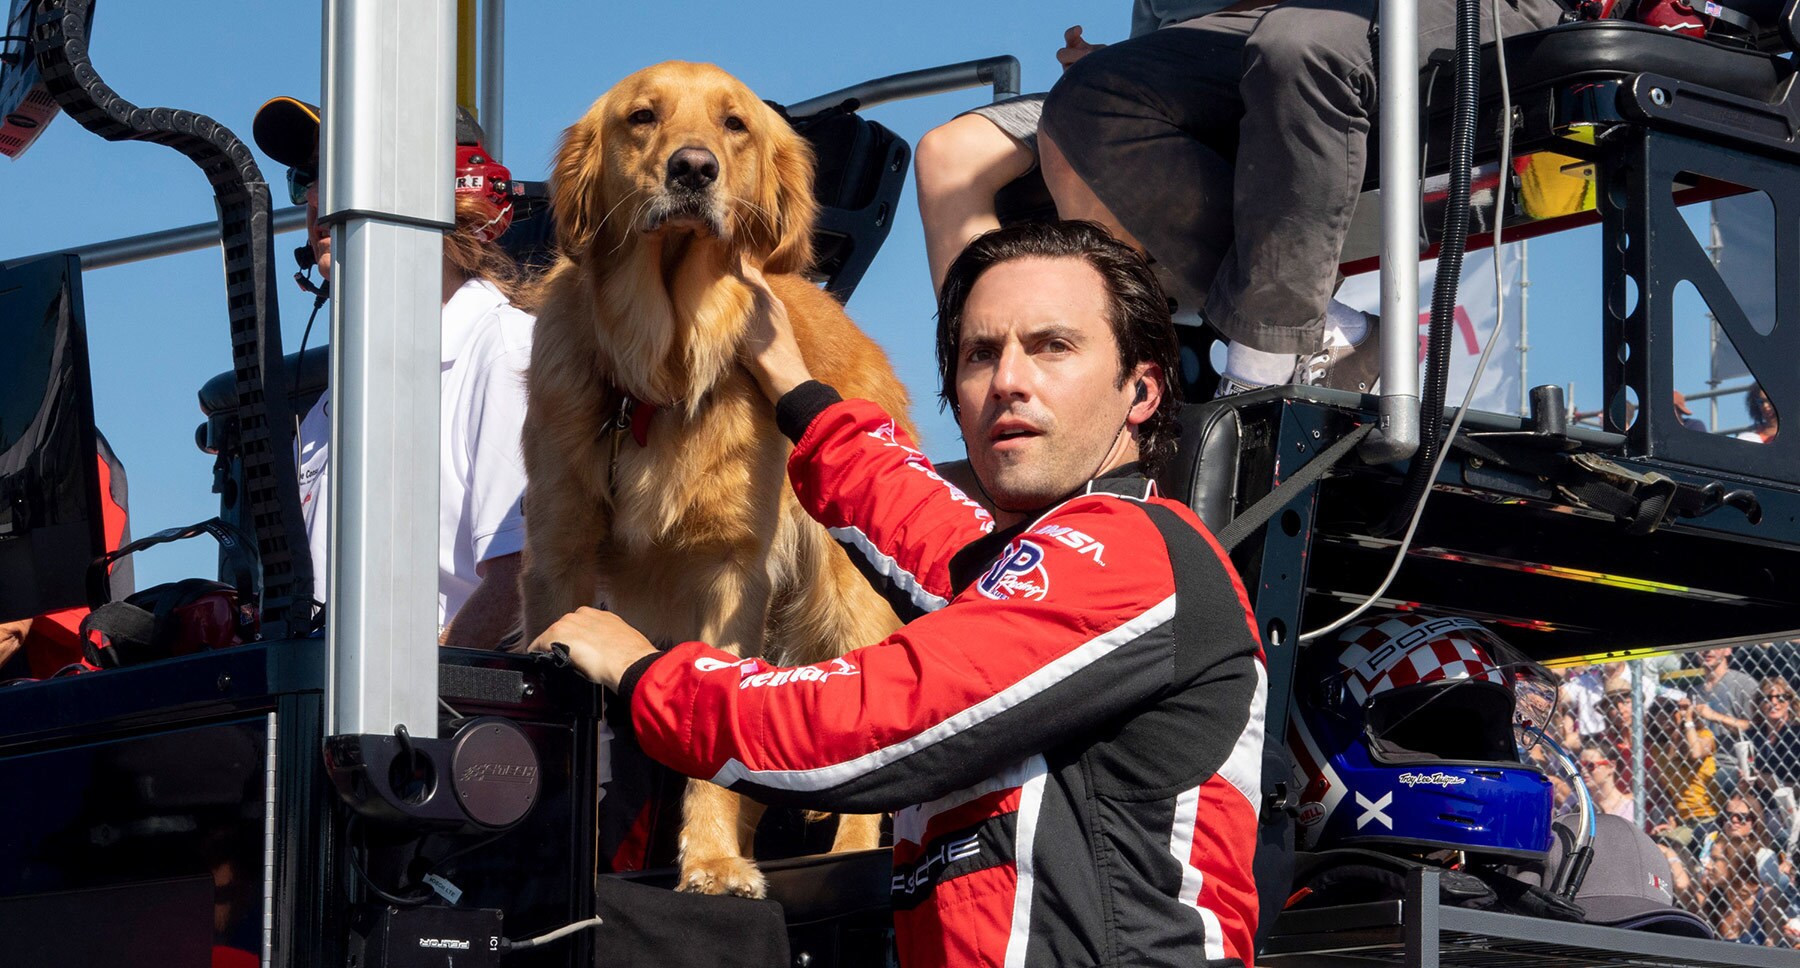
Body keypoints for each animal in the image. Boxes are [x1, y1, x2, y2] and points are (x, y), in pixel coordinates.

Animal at [525, 60, 914, 892]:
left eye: (734, 123)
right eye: (642, 117)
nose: (693, 169)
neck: (661, 367)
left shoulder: (732, 576)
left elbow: (713, 736)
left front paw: (710, 862)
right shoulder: (556, 555)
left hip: (842, 596)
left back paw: (849, 852)